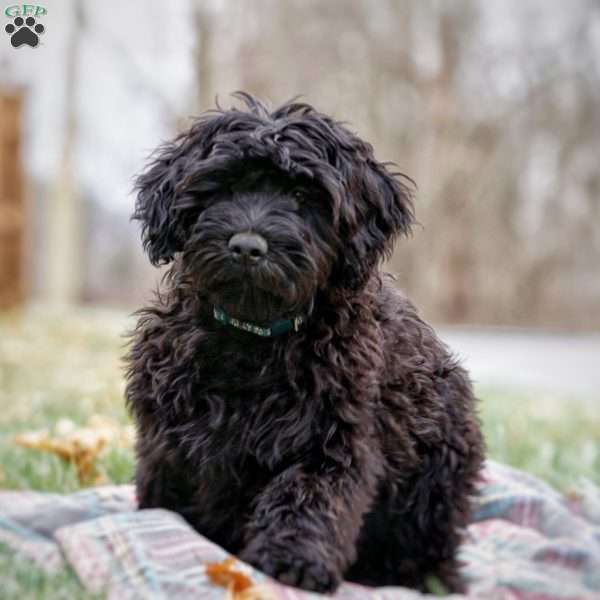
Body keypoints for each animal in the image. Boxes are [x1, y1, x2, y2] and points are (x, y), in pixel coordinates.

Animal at [125, 91, 482, 592]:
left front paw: (292, 560)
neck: (252, 339)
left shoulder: (334, 438)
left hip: (430, 494)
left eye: (302, 196)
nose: (248, 247)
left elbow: (308, 495)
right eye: (225, 188)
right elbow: (169, 498)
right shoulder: (170, 443)